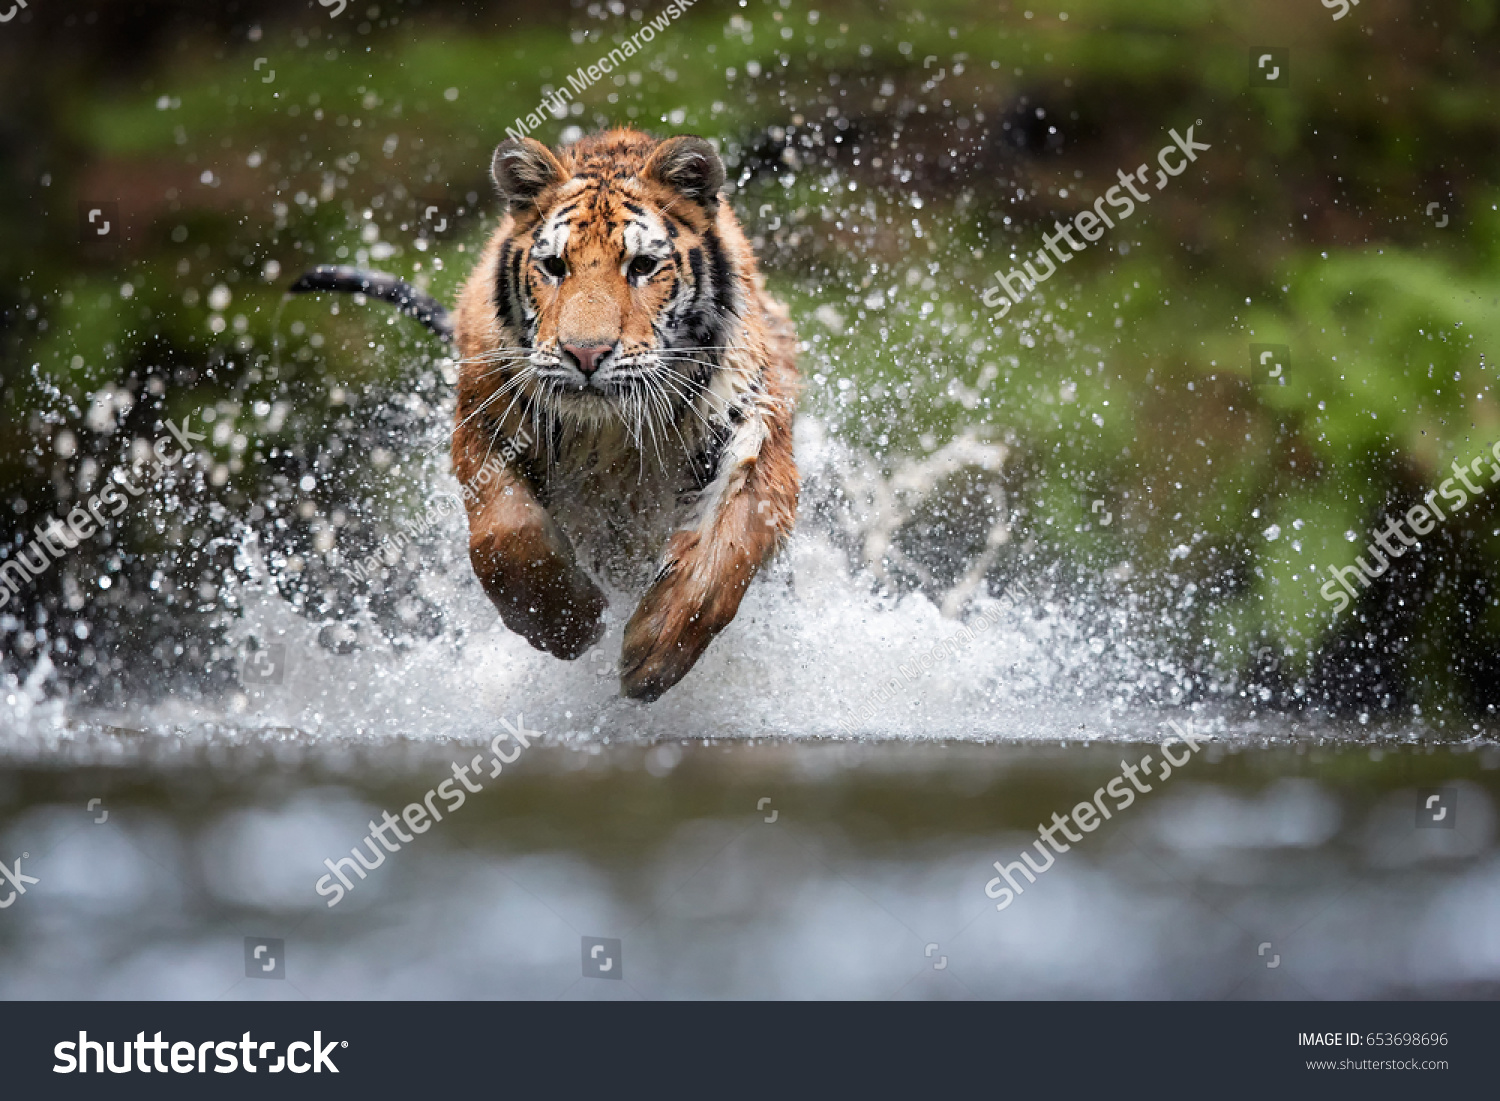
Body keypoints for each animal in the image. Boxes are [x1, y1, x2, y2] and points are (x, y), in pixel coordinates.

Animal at [293, 129, 800, 701]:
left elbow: (728, 548)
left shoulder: (755, 434)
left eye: (642, 267)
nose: (585, 353)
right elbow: (504, 538)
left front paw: (652, 655)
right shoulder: (483, 428)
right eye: (555, 266)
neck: (609, 436)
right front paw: (569, 626)